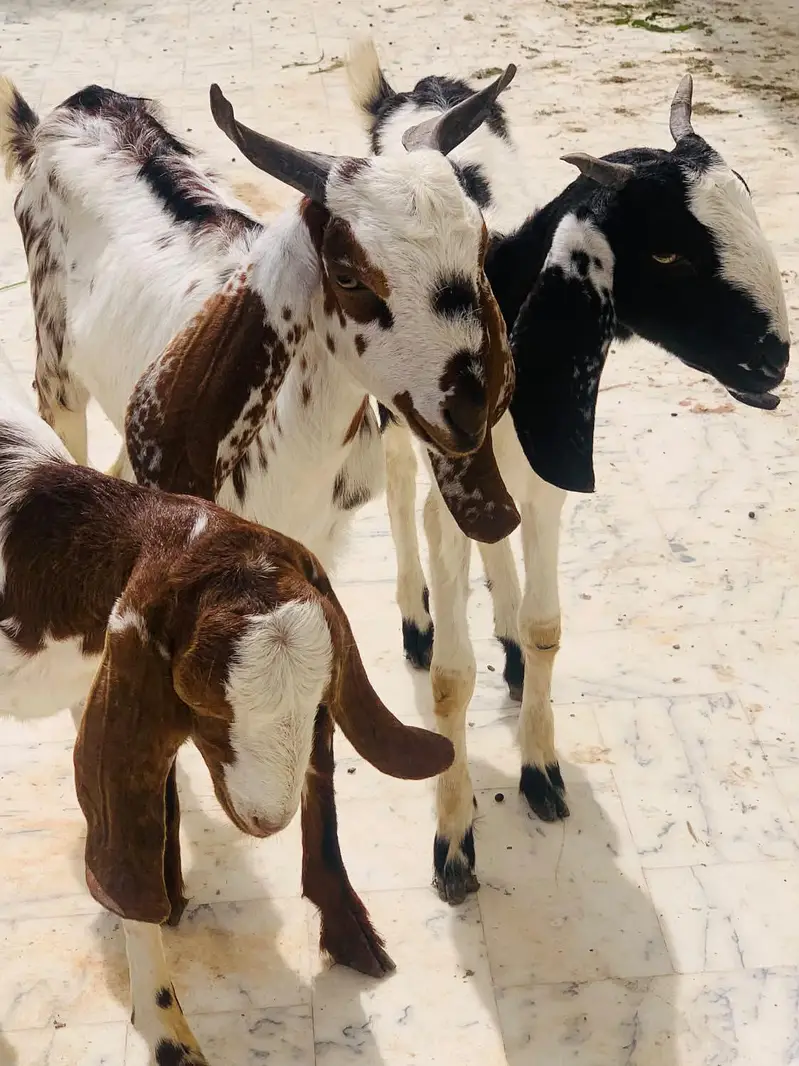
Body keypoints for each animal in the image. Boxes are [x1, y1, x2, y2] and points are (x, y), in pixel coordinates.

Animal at [0, 69, 520, 579]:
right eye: (347, 276)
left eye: (480, 249)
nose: (468, 414)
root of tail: (74, 109)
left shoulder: (322, 539)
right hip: (57, 374)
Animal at [347, 40, 791, 903]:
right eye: (665, 250)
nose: (772, 359)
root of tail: (409, 90)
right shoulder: (452, 469)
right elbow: (450, 677)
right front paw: (453, 841)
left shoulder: (546, 477)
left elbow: (549, 625)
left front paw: (541, 768)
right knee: (399, 492)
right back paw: (415, 617)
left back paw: (506, 640)